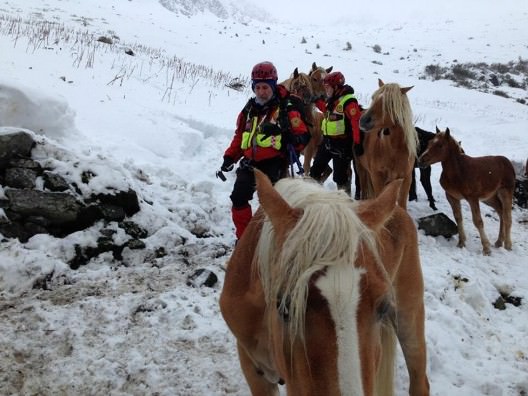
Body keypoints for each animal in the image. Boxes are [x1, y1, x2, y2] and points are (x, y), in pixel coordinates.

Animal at [356, 78, 418, 210]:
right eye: (373, 97)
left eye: (391, 103)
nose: (363, 121)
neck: (394, 150)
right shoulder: (377, 177)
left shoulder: (406, 178)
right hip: (361, 169)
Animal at [418, 127, 512, 256]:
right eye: (429, 143)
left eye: (440, 145)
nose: (421, 160)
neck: (458, 171)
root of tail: (507, 161)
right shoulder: (452, 197)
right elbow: (458, 218)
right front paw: (461, 243)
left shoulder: (472, 198)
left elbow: (478, 221)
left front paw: (486, 248)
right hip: (489, 198)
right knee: (500, 212)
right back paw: (498, 242)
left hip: (505, 192)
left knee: (507, 217)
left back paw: (508, 245)